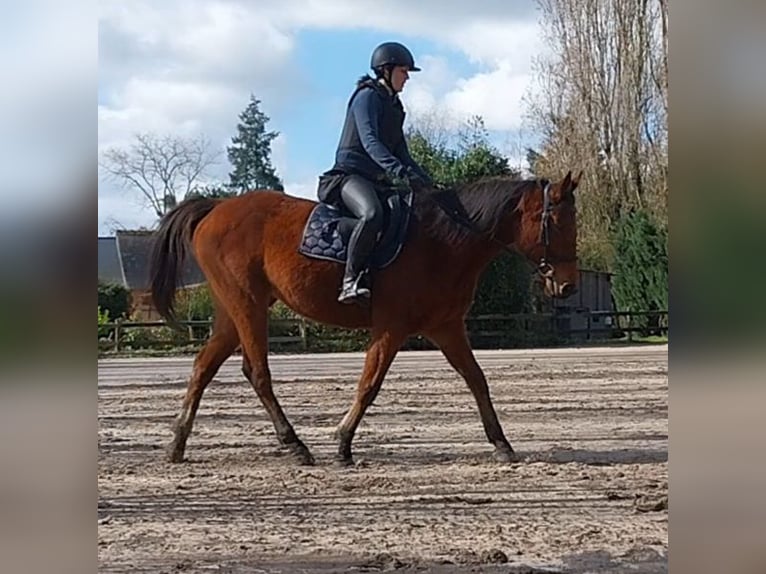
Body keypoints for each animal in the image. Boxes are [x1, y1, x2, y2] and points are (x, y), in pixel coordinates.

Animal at [148, 171, 584, 468]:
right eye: (555, 222)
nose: (568, 286)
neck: (443, 241)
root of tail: (215, 208)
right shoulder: (391, 327)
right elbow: (370, 384)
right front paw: (343, 443)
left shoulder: (446, 328)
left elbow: (477, 380)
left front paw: (501, 443)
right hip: (248, 305)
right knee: (256, 372)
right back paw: (294, 444)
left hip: (232, 311)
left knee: (203, 366)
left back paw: (177, 443)